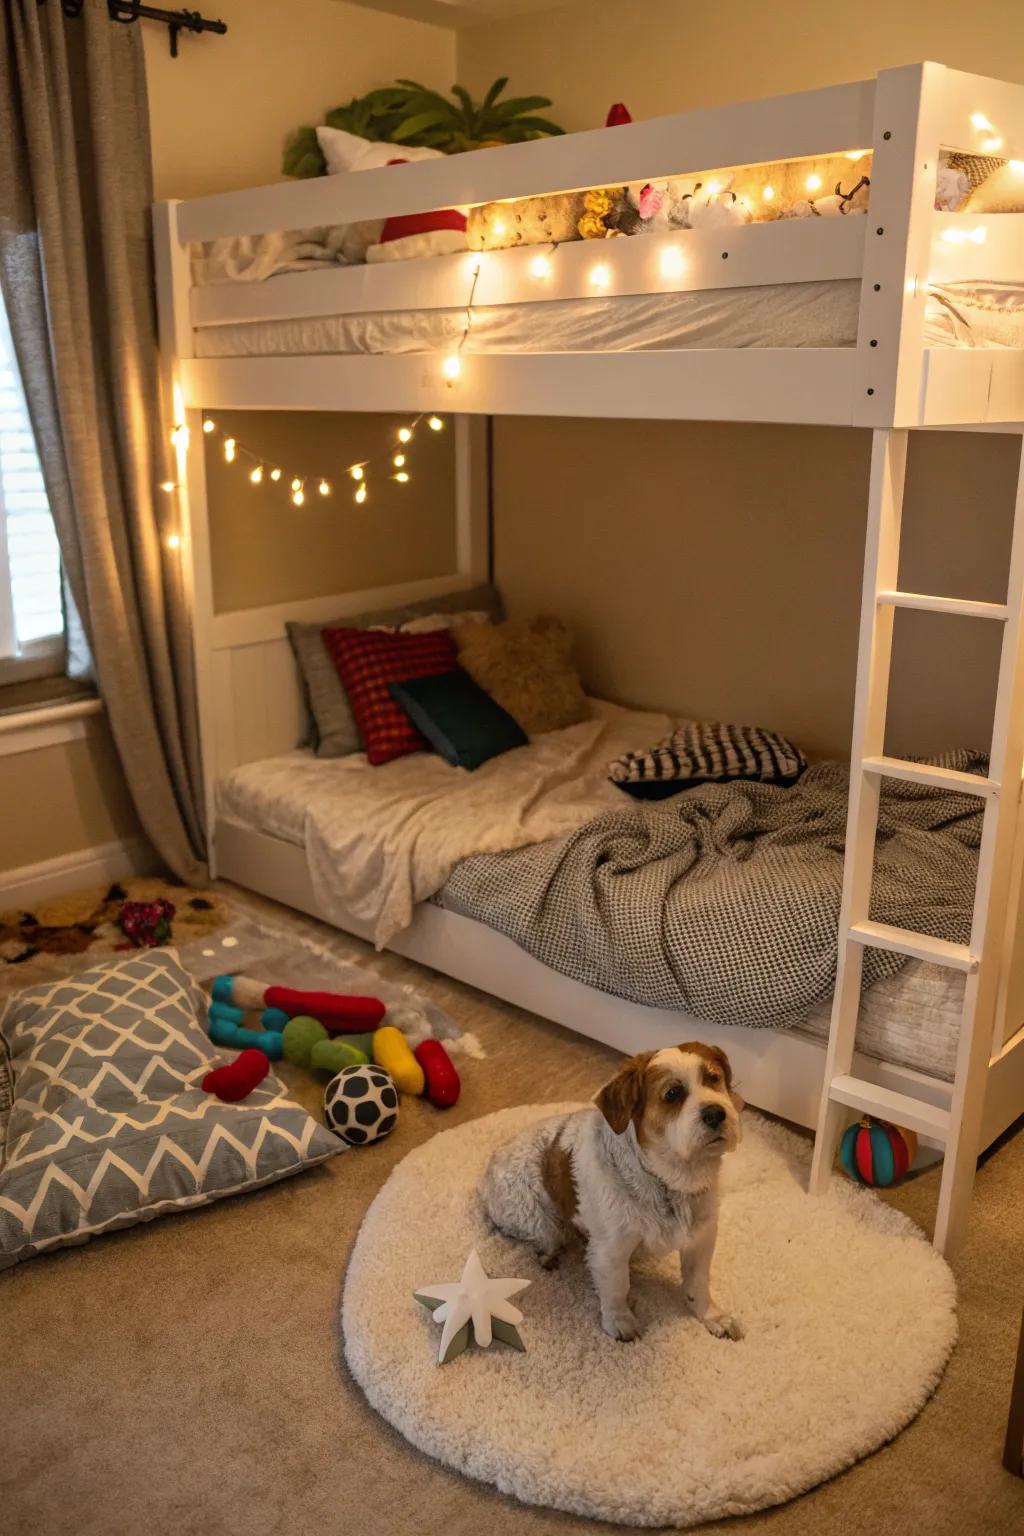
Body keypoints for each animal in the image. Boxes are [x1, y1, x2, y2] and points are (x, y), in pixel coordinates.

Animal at [482, 1044, 746, 1345]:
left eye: (713, 1078)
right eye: (673, 1093)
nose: (716, 1113)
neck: (669, 1182)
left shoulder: (702, 1237)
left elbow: (698, 1282)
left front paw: (712, 1316)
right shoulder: (611, 1248)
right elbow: (617, 1286)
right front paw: (620, 1321)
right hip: (540, 1221)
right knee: (545, 1238)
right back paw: (549, 1255)